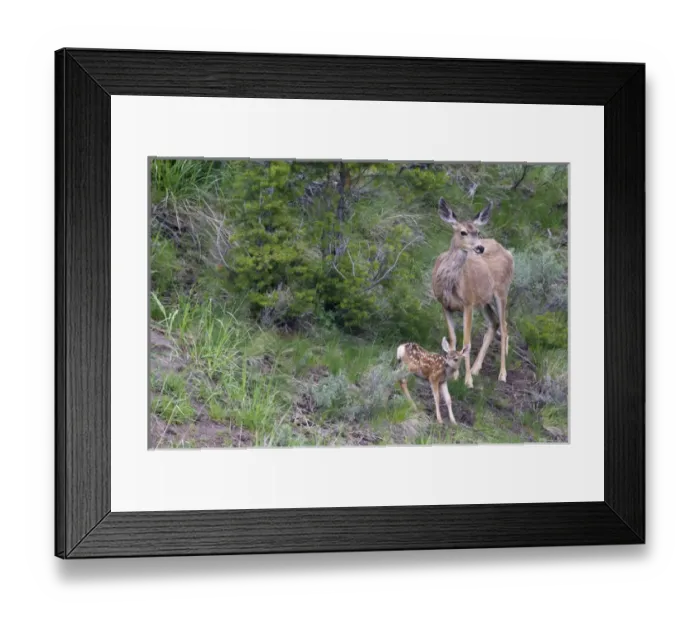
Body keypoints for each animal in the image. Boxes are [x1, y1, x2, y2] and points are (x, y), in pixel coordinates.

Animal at [432, 197, 514, 388]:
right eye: (462, 232)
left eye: (477, 231)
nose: (479, 248)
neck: (450, 285)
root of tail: (508, 252)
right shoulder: (445, 305)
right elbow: (453, 339)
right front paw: (454, 375)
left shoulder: (467, 303)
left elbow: (466, 342)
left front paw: (467, 381)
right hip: (484, 300)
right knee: (494, 323)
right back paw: (477, 368)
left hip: (501, 292)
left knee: (504, 327)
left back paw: (502, 374)